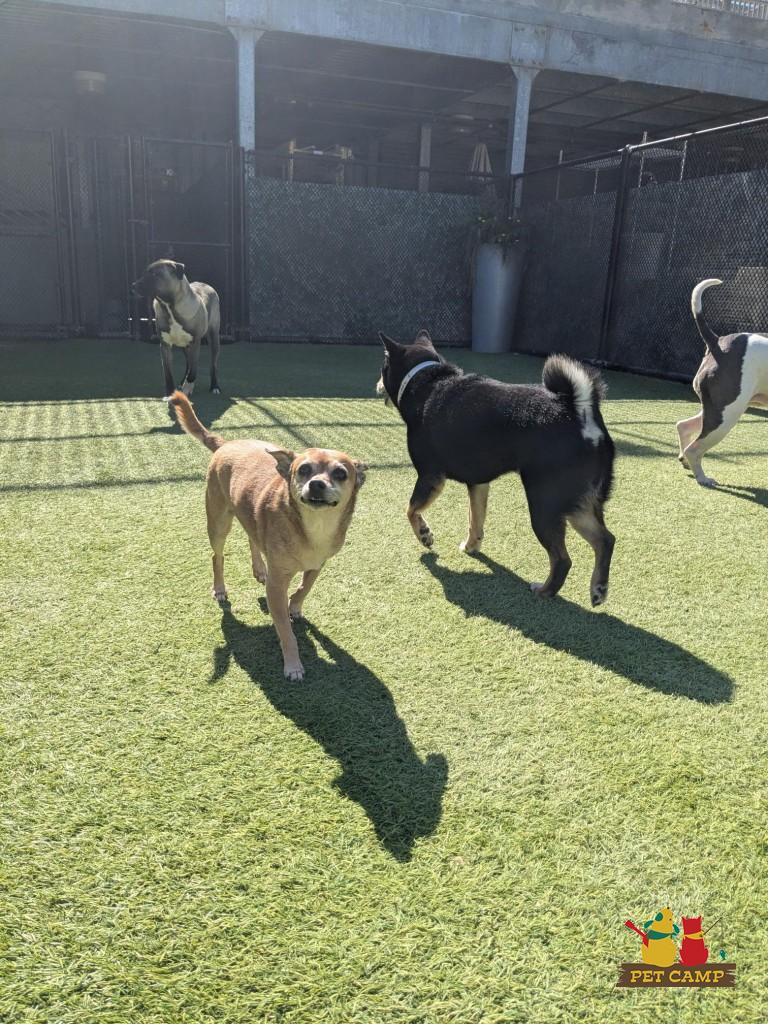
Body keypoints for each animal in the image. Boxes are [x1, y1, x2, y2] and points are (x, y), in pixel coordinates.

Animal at [131, 259, 221, 398]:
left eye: (155, 274)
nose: (133, 285)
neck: (169, 306)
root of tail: (206, 285)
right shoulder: (165, 345)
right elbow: (168, 373)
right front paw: (170, 393)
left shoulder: (195, 342)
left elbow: (194, 369)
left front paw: (188, 387)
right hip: (184, 346)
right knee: (188, 363)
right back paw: (182, 382)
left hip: (214, 338)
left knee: (212, 365)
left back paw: (214, 386)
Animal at [170, 391, 366, 681]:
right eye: (303, 470)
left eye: (341, 473)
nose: (317, 484)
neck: (314, 526)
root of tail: (225, 444)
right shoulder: (277, 585)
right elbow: (285, 630)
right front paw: (293, 665)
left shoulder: (318, 564)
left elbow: (305, 587)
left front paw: (295, 606)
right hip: (218, 523)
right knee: (217, 556)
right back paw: (220, 588)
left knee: (253, 538)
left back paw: (259, 569)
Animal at [376, 330, 616, 605]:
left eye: (382, 368)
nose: (377, 385)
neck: (428, 382)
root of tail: (579, 410)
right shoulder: (478, 483)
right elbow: (475, 519)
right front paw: (472, 546)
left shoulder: (429, 476)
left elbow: (410, 509)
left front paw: (425, 534)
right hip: (575, 502)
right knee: (605, 540)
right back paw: (598, 588)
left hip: (545, 506)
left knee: (563, 559)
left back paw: (546, 591)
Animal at [676, 278, 768, 487]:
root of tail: (717, 342)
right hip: (726, 416)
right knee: (695, 448)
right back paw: (703, 478)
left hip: (718, 409)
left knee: (684, 426)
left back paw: (687, 463)